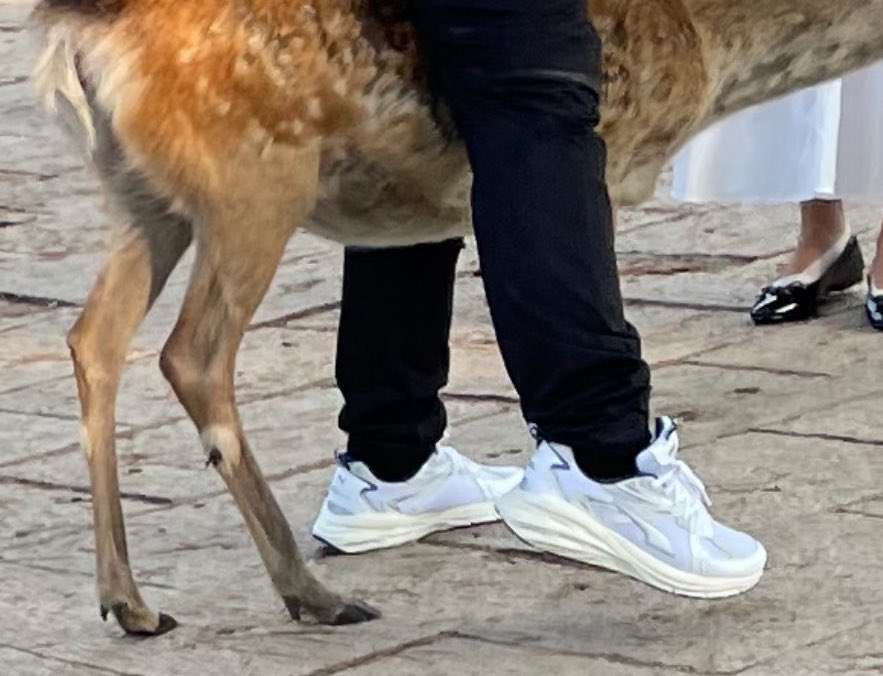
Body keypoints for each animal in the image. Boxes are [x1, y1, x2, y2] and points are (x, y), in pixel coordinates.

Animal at [30, 0, 883, 636]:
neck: (713, 57)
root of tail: (78, 34)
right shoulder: (593, 146)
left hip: (148, 196)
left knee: (93, 337)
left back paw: (130, 603)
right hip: (255, 178)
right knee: (191, 354)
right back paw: (310, 594)